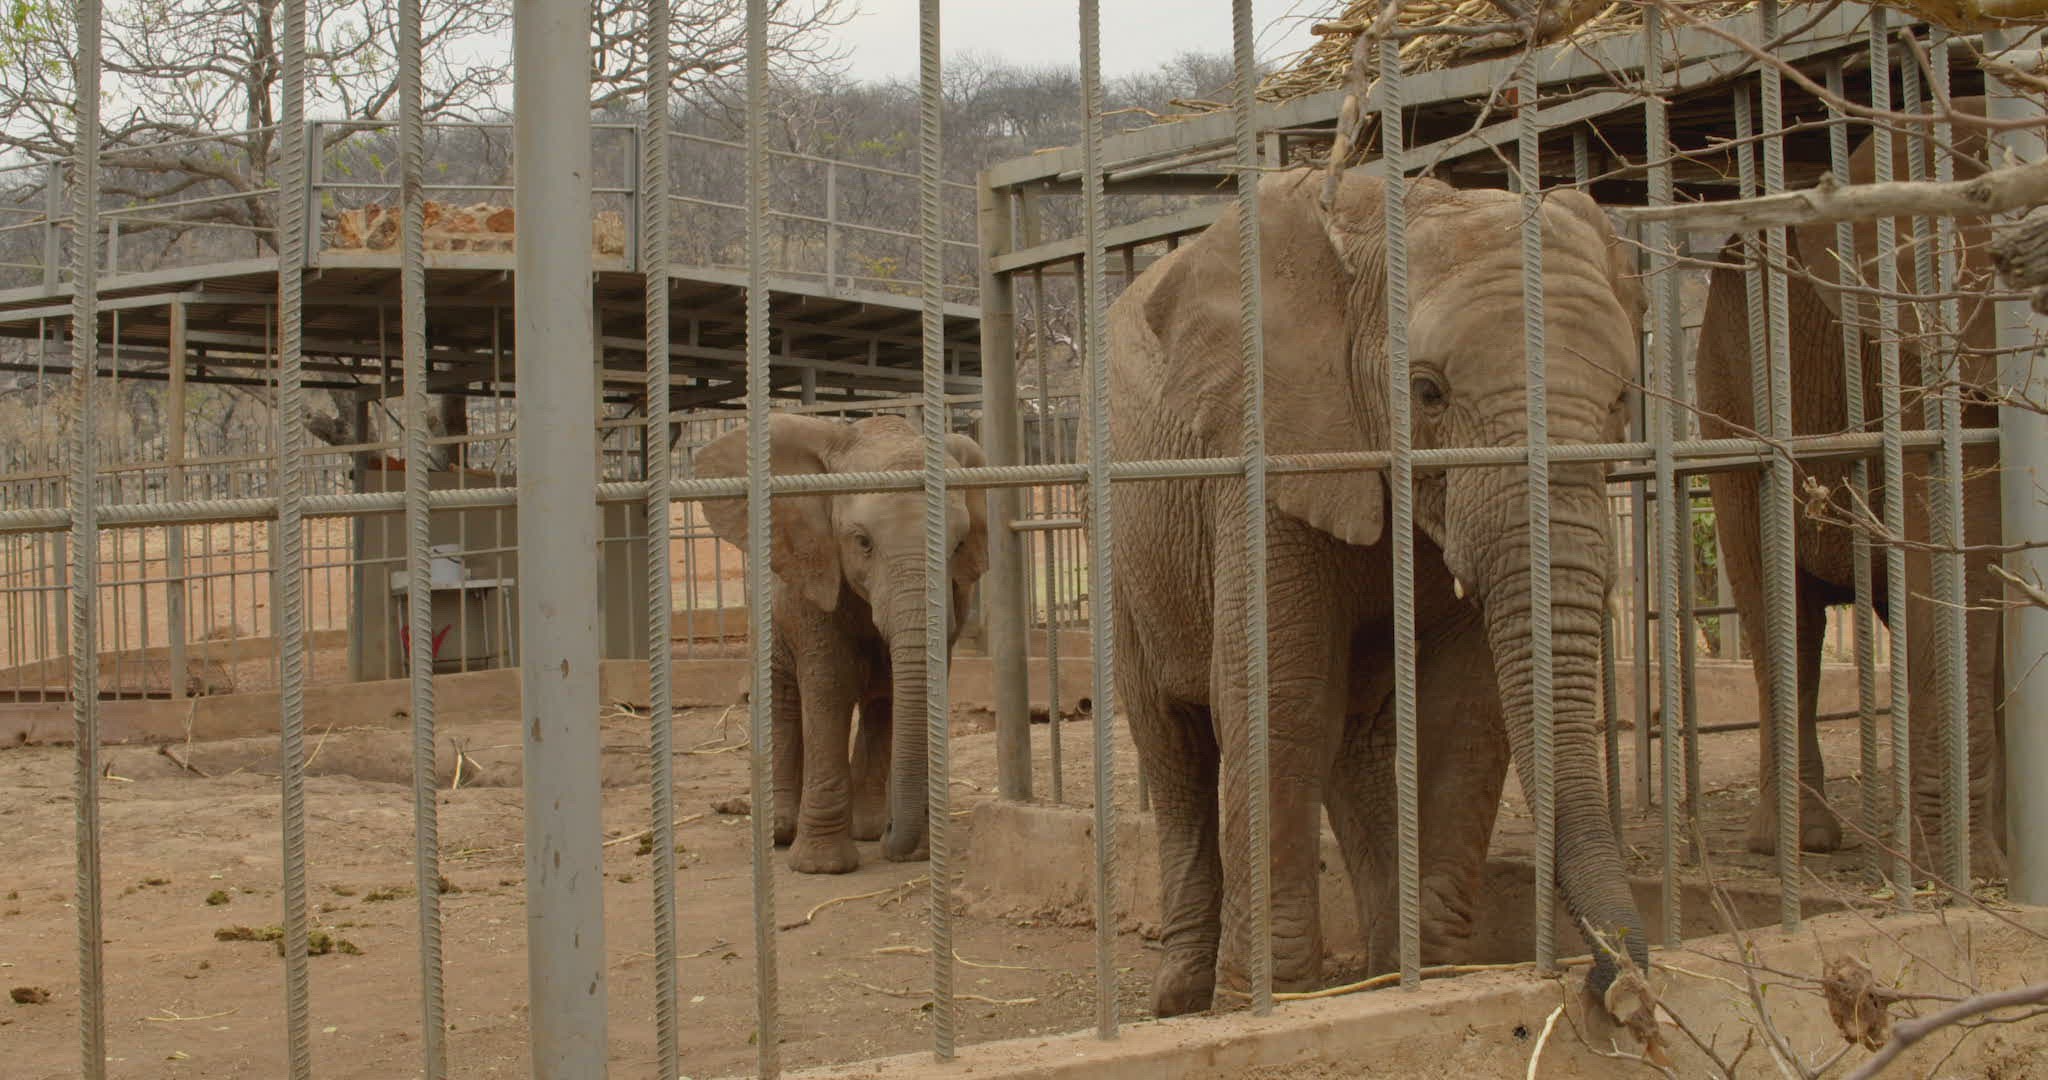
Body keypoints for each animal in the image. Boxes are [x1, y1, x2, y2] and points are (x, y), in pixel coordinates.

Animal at [695, 414, 989, 874]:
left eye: (958, 544)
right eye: (862, 542)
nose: (896, 837)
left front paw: (907, 847)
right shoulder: (812, 575)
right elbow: (829, 686)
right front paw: (822, 866)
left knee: (880, 703)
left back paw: (865, 826)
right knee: (784, 698)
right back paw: (781, 831)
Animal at [1098, 166, 1650, 1017]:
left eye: (1622, 398)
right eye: (1427, 392)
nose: (1620, 988)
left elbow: (1465, 713)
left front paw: (1439, 981)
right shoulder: (1270, 452)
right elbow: (1279, 697)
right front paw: (1275, 1004)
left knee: (1358, 740)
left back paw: (1390, 967)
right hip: (1130, 543)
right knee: (1175, 743)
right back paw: (1181, 999)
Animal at [1696, 95, 2006, 876]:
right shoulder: (1924, 349)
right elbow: (1960, 556)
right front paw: (1964, 874)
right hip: (1730, 398)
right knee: (1786, 613)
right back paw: (1797, 845)